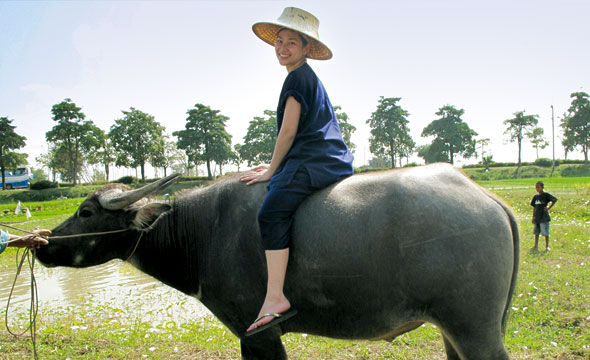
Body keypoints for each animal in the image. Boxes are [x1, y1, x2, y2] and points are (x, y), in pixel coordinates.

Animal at [35, 164, 520, 360]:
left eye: (86, 212)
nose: (42, 244)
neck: (202, 231)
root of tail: (487, 198)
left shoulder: (258, 335)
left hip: (475, 329)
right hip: (453, 329)